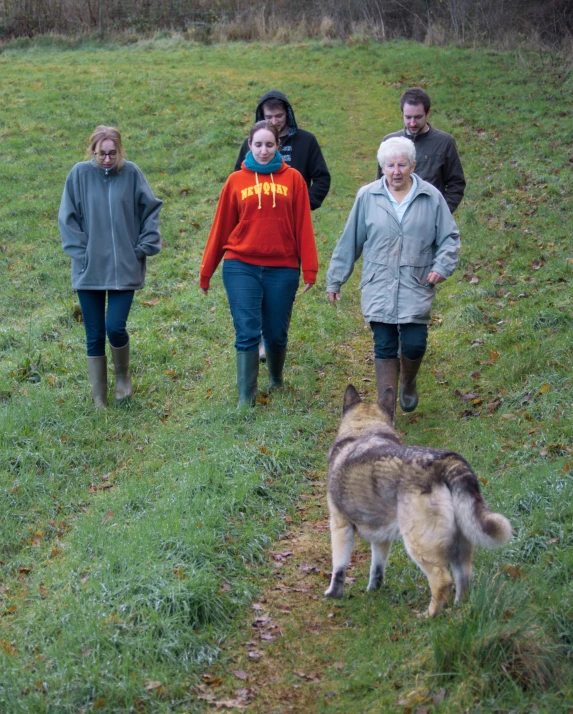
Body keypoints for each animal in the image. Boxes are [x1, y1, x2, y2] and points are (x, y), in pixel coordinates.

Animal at [324, 386, 512, 616]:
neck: (365, 432)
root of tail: (445, 462)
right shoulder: (381, 538)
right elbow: (377, 569)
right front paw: (373, 590)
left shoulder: (340, 526)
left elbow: (339, 567)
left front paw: (334, 593)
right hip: (461, 544)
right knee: (464, 579)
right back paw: (458, 610)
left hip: (419, 543)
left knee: (442, 581)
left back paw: (428, 616)